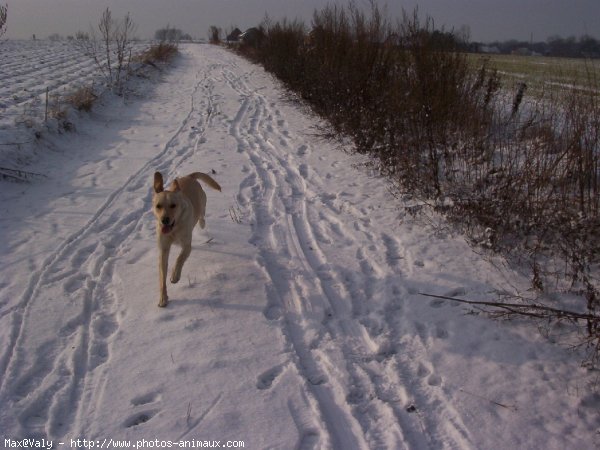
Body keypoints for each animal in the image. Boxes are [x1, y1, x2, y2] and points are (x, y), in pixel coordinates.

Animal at [154, 171, 221, 308]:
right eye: (158, 206)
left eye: (173, 205)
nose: (164, 220)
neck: (174, 228)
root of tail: (189, 176)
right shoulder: (163, 249)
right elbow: (162, 277)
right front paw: (163, 299)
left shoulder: (187, 246)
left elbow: (179, 258)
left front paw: (175, 275)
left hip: (202, 203)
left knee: (202, 215)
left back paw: (202, 223)